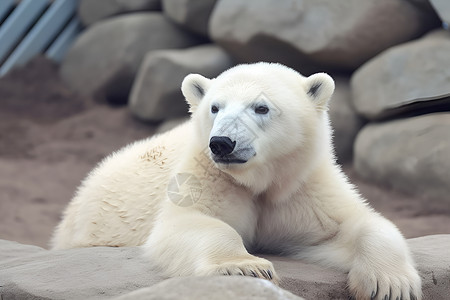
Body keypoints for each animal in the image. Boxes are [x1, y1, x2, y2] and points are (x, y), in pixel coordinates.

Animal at [52, 62, 422, 300]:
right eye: (215, 107)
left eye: (261, 107)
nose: (222, 143)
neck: (262, 179)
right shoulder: (206, 176)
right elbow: (188, 223)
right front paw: (247, 268)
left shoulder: (302, 186)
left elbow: (352, 226)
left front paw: (391, 284)